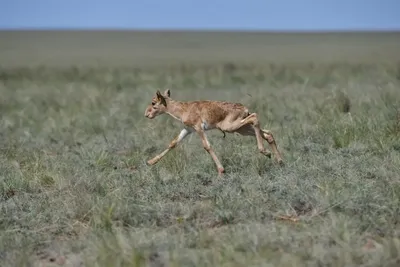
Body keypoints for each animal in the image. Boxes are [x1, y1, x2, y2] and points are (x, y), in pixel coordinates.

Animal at [144, 90, 284, 177]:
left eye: (153, 102)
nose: (146, 114)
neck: (183, 109)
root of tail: (244, 108)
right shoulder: (188, 129)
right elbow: (173, 143)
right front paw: (150, 162)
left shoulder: (198, 128)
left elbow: (207, 146)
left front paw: (221, 171)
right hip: (241, 129)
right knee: (267, 133)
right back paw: (279, 161)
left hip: (231, 127)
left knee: (255, 117)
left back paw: (265, 152)